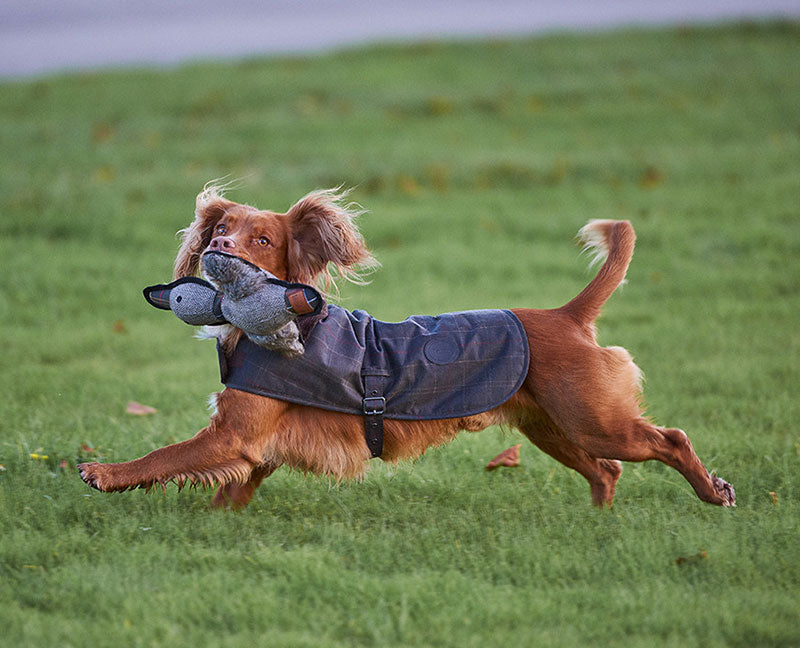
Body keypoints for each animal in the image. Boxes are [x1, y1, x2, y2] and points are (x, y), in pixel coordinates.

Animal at [78, 185, 736, 508]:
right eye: (219, 230)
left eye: (261, 240)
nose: (218, 250)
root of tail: (566, 316)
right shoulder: (257, 447)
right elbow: (229, 489)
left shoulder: (233, 435)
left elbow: (164, 457)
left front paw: (104, 473)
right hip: (553, 427)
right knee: (606, 471)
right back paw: (597, 523)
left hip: (595, 420)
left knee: (670, 441)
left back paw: (712, 494)